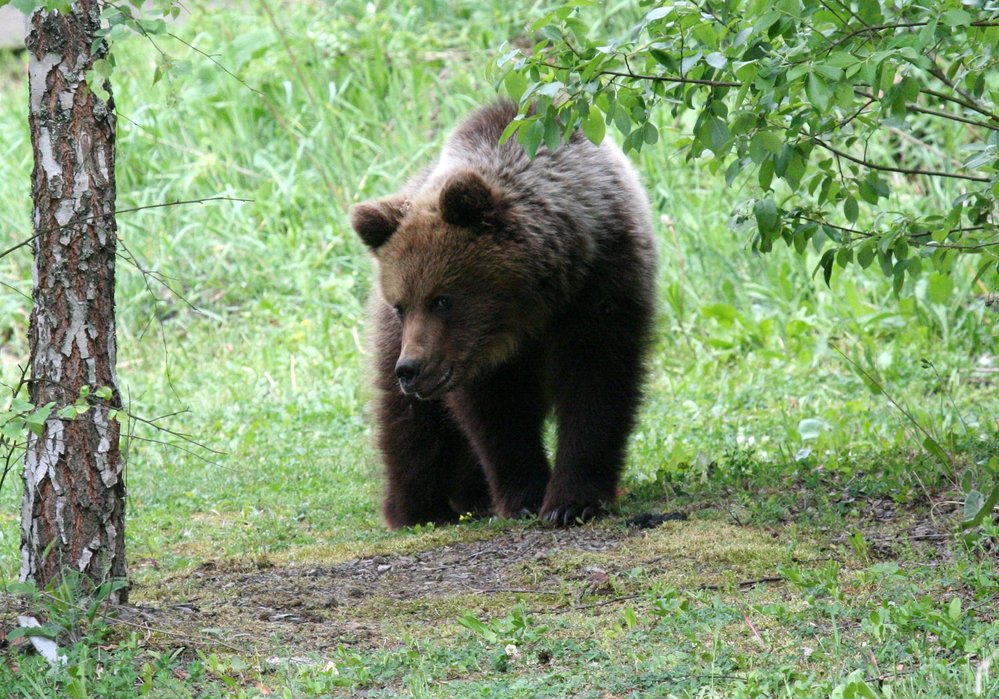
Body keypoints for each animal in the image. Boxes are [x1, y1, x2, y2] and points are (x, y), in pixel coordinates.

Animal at [352, 101, 656, 528]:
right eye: (402, 305)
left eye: (442, 299)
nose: (411, 368)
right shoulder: (471, 357)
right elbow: (496, 415)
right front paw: (525, 497)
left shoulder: (602, 286)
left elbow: (596, 385)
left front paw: (571, 501)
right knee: (410, 422)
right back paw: (418, 507)